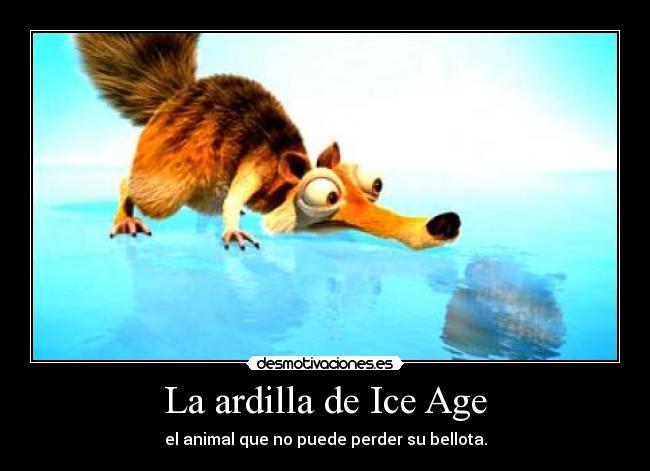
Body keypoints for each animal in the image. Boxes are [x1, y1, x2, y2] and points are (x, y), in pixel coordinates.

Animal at [76, 33, 460, 250]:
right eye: (327, 196)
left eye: (375, 185)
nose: (445, 223)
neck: (283, 180)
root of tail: (174, 98)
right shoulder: (256, 166)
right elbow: (236, 196)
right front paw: (232, 225)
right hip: (173, 165)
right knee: (146, 189)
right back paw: (126, 209)